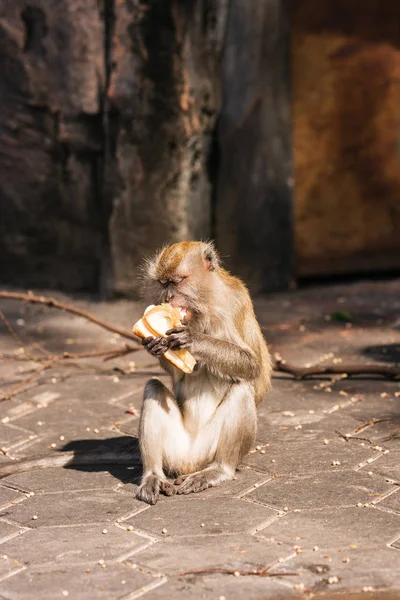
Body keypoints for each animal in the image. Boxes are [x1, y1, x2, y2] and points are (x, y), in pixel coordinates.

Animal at [0, 241, 272, 504]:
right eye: (163, 284)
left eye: (176, 282)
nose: (168, 296)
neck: (205, 306)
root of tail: (191, 462)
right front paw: (154, 346)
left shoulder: (235, 303)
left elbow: (252, 366)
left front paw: (193, 339)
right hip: (176, 449)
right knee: (153, 387)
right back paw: (153, 476)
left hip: (208, 449)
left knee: (241, 389)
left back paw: (218, 470)